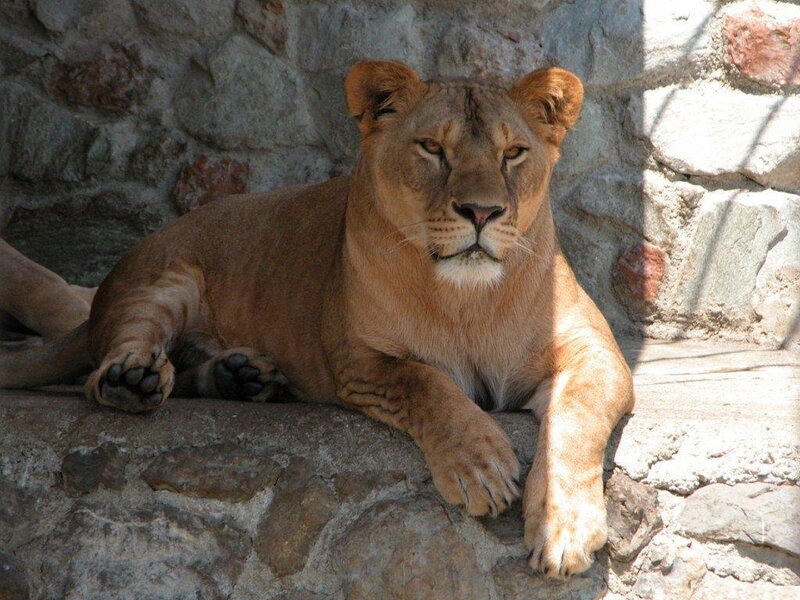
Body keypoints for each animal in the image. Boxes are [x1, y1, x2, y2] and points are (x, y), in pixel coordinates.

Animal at [0, 60, 634, 578]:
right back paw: (133, 381)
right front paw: (478, 467)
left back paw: (241, 377)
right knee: (115, 357)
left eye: (513, 154)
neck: (468, 301)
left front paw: (563, 527)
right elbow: (425, 383)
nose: (482, 212)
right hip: (166, 277)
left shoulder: (597, 354)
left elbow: (575, 424)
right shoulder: (359, 360)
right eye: (433, 148)